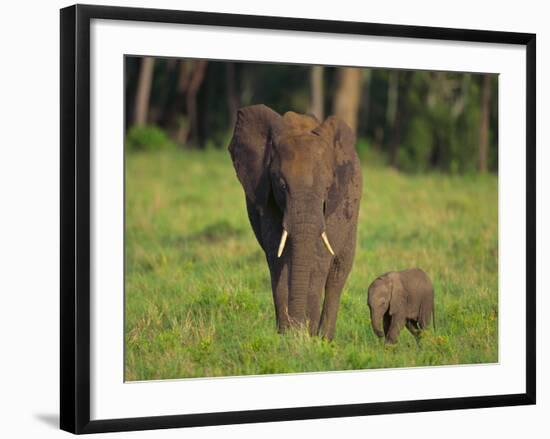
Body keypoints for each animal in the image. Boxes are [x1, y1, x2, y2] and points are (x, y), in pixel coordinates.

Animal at [229, 104, 362, 340]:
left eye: (327, 188)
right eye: (282, 185)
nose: (297, 327)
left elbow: (319, 261)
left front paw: (307, 337)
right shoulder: (265, 195)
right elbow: (277, 256)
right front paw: (287, 336)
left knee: (338, 275)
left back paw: (326, 339)